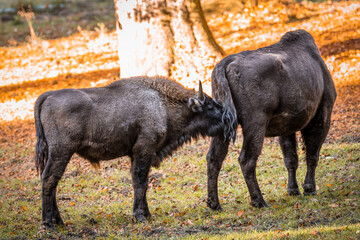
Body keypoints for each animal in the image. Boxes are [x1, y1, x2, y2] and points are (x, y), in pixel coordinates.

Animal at [34, 76, 231, 229]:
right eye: (210, 105)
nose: (227, 115)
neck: (161, 104)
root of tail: (47, 96)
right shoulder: (144, 150)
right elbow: (140, 182)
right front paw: (140, 216)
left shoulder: (139, 155)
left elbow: (144, 183)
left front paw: (148, 214)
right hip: (62, 151)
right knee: (49, 180)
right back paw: (48, 224)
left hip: (53, 153)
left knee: (51, 182)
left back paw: (58, 221)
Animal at [207, 30, 336, 209]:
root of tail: (224, 64)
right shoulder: (321, 117)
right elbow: (312, 155)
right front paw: (309, 189)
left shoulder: (287, 127)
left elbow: (291, 158)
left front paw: (293, 189)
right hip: (256, 121)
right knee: (246, 159)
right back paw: (259, 200)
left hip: (222, 125)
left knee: (214, 158)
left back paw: (214, 203)